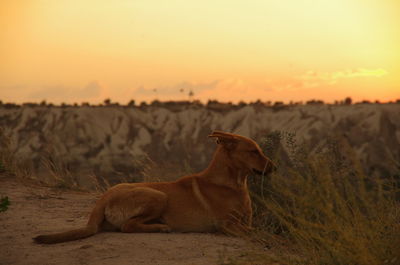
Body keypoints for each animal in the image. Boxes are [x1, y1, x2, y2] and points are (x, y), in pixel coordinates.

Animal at [33, 130, 276, 243]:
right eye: (253, 151)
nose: (275, 167)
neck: (233, 182)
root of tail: (103, 198)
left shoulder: (244, 221)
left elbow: (256, 228)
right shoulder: (227, 225)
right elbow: (257, 232)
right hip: (157, 195)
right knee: (128, 226)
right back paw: (161, 227)